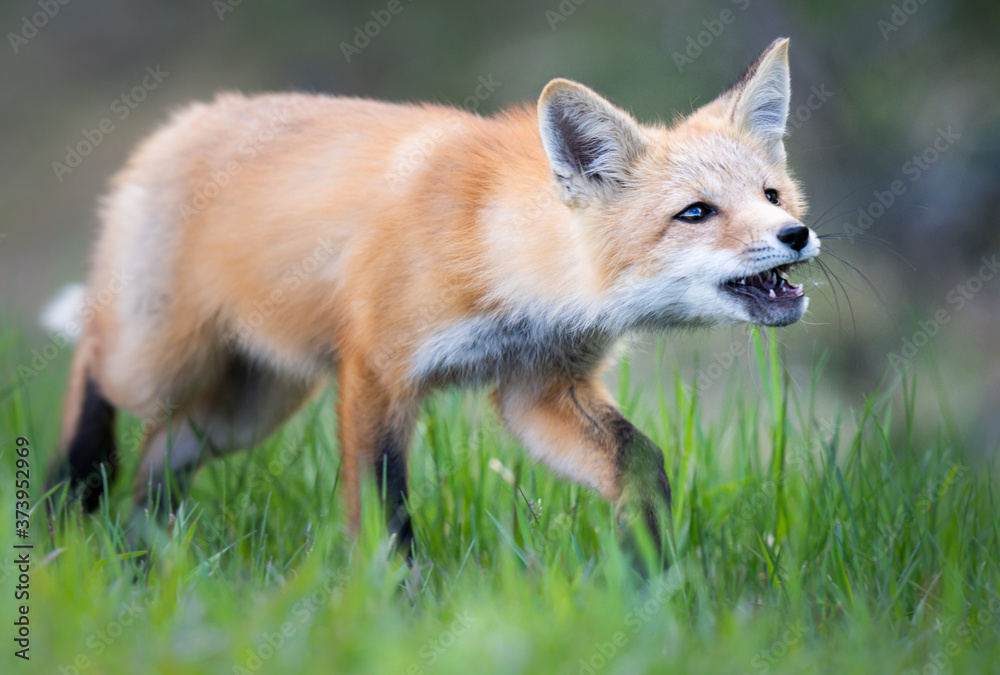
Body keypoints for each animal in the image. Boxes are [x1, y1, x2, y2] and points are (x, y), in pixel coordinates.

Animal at [44, 38, 818, 556]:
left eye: (771, 196)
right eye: (696, 213)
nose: (797, 234)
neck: (499, 264)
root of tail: (182, 121)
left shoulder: (537, 385)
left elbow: (639, 461)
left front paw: (652, 571)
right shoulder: (375, 372)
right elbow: (385, 515)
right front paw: (395, 608)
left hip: (246, 408)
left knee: (154, 461)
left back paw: (139, 554)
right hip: (159, 363)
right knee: (93, 362)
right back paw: (67, 495)